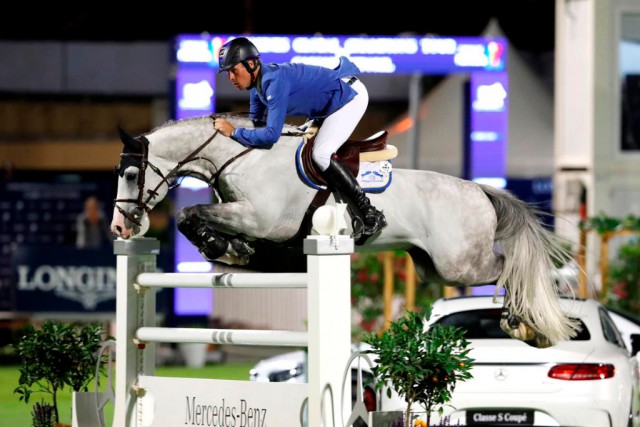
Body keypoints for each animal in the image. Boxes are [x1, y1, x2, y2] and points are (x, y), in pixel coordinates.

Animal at [110, 113, 580, 348]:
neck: (243, 156)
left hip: (460, 264)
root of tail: (479, 189)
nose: (119, 225)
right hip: (434, 267)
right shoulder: (251, 222)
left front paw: (220, 244)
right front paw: (227, 247)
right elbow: (197, 219)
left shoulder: (263, 219)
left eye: (131, 174)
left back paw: (526, 323)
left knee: (511, 268)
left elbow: (190, 213)